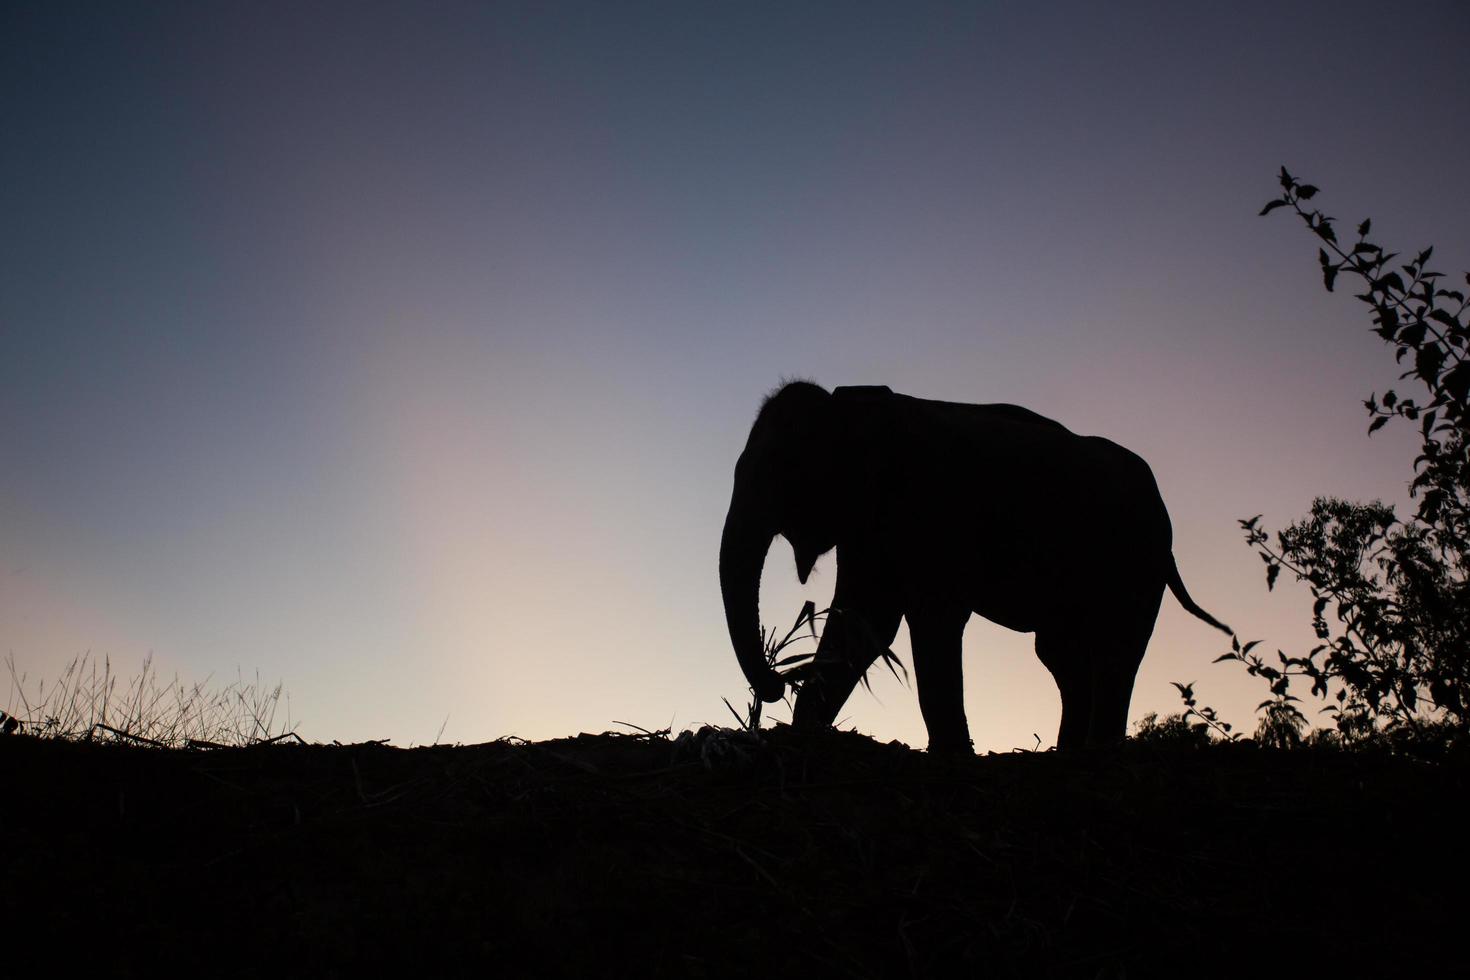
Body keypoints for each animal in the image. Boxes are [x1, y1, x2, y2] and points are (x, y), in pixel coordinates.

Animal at [714, 382, 1228, 752]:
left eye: (782, 469)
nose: (778, 679)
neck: (854, 409)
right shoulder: (870, 530)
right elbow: (862, 623)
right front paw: (801, 734)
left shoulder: (933, 508)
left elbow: (931, 619)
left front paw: (953, 755)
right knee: (1063, 657)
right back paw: (1068, 753)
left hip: (1136, 560)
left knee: (1114, 652)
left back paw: (1097, 754)